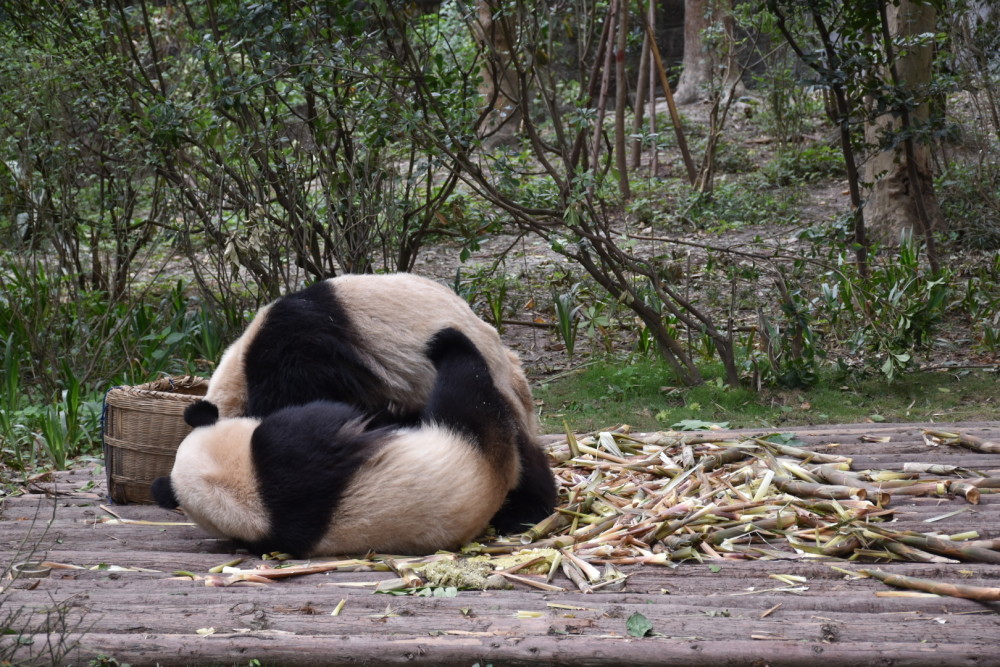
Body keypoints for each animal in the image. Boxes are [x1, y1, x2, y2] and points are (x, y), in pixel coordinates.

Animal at [152, 328, 524, 560]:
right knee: (468, 386)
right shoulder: (287, 444)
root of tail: (498, 484)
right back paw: (448, 343)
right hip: (473, 437)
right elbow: (342, 417)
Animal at [196, 274, 556, 536]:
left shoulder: (297, 356)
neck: (241, 367)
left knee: (511, 443)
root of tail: (509, 360)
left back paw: (525, 512)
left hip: (485, 381)